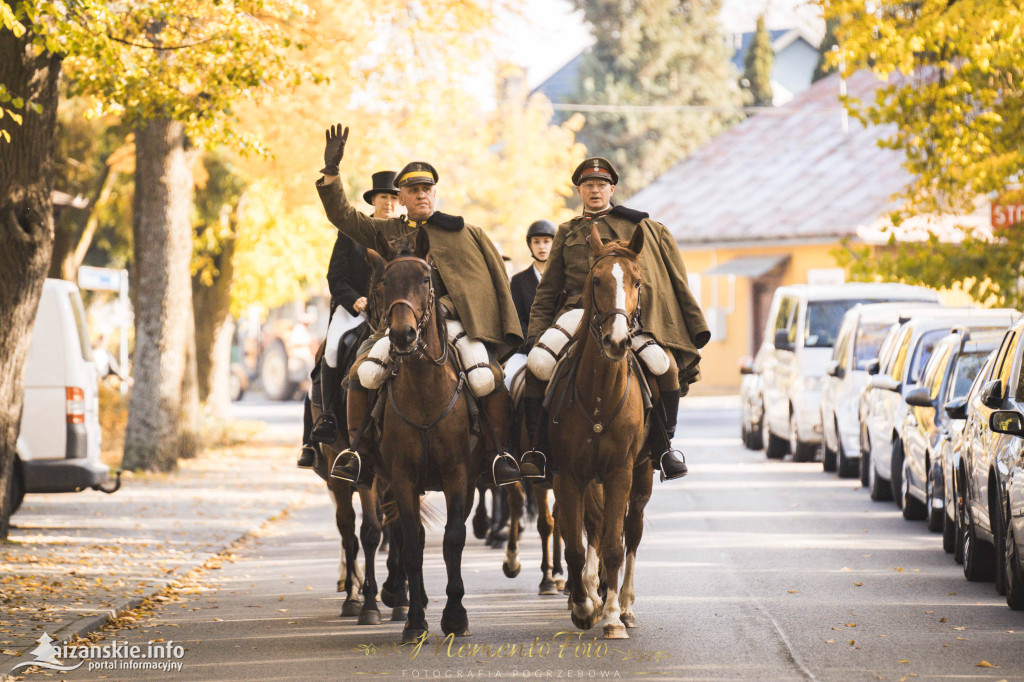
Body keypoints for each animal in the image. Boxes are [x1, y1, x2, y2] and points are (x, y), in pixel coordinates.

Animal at [368, 228, 479, 643]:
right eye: (384, 282)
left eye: (426, 280)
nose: (403, 335)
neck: (425, 391)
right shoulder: (401, 477)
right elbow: (413, 543)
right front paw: (416, 620)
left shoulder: (458, 475)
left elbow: (453, 538)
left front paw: (456, 615)